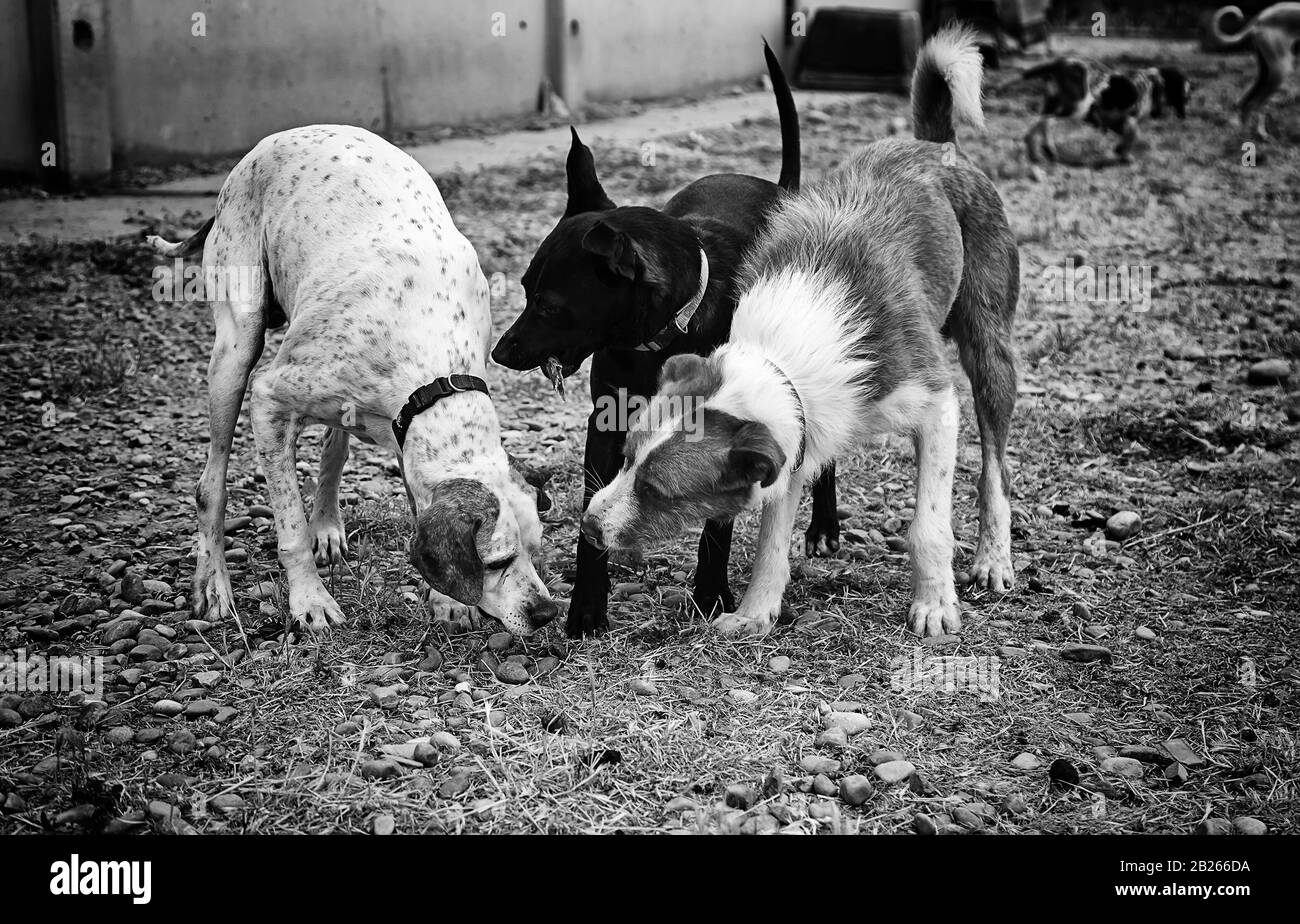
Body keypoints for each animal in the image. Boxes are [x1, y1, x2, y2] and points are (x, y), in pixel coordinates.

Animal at [149, 124, 556, 636]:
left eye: (536, 550)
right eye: (497, 562)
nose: (545, 613)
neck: (435, 368)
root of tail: (272, 140)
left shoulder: (403, 429)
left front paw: (447, 600)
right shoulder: (269, 401)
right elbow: (289, 526)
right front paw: (309, 600)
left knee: (334, 447)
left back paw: (326, 523)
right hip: (235, 350)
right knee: (211, 485)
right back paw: (214, 583)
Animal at [488, 41, 842, 636]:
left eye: (551, 305)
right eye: (523, 288)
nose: (499, 352)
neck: (665, 332)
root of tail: (778, 188)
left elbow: (718, 521)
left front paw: (710, 595)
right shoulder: (607, 423)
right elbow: (594, 515)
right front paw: (587, 608)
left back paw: (825, 527)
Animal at [585, 27, 1019, 636]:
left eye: (658, 491)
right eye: (624, 458)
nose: (586, 526)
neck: (790, 348)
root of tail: (933, 146)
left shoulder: (936, 406)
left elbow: (928, 525)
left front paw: (934, 603)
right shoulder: (792, 440)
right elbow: (771, 541)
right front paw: (755, 613)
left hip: (987, 348)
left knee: (995, 470)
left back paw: (992, 558)